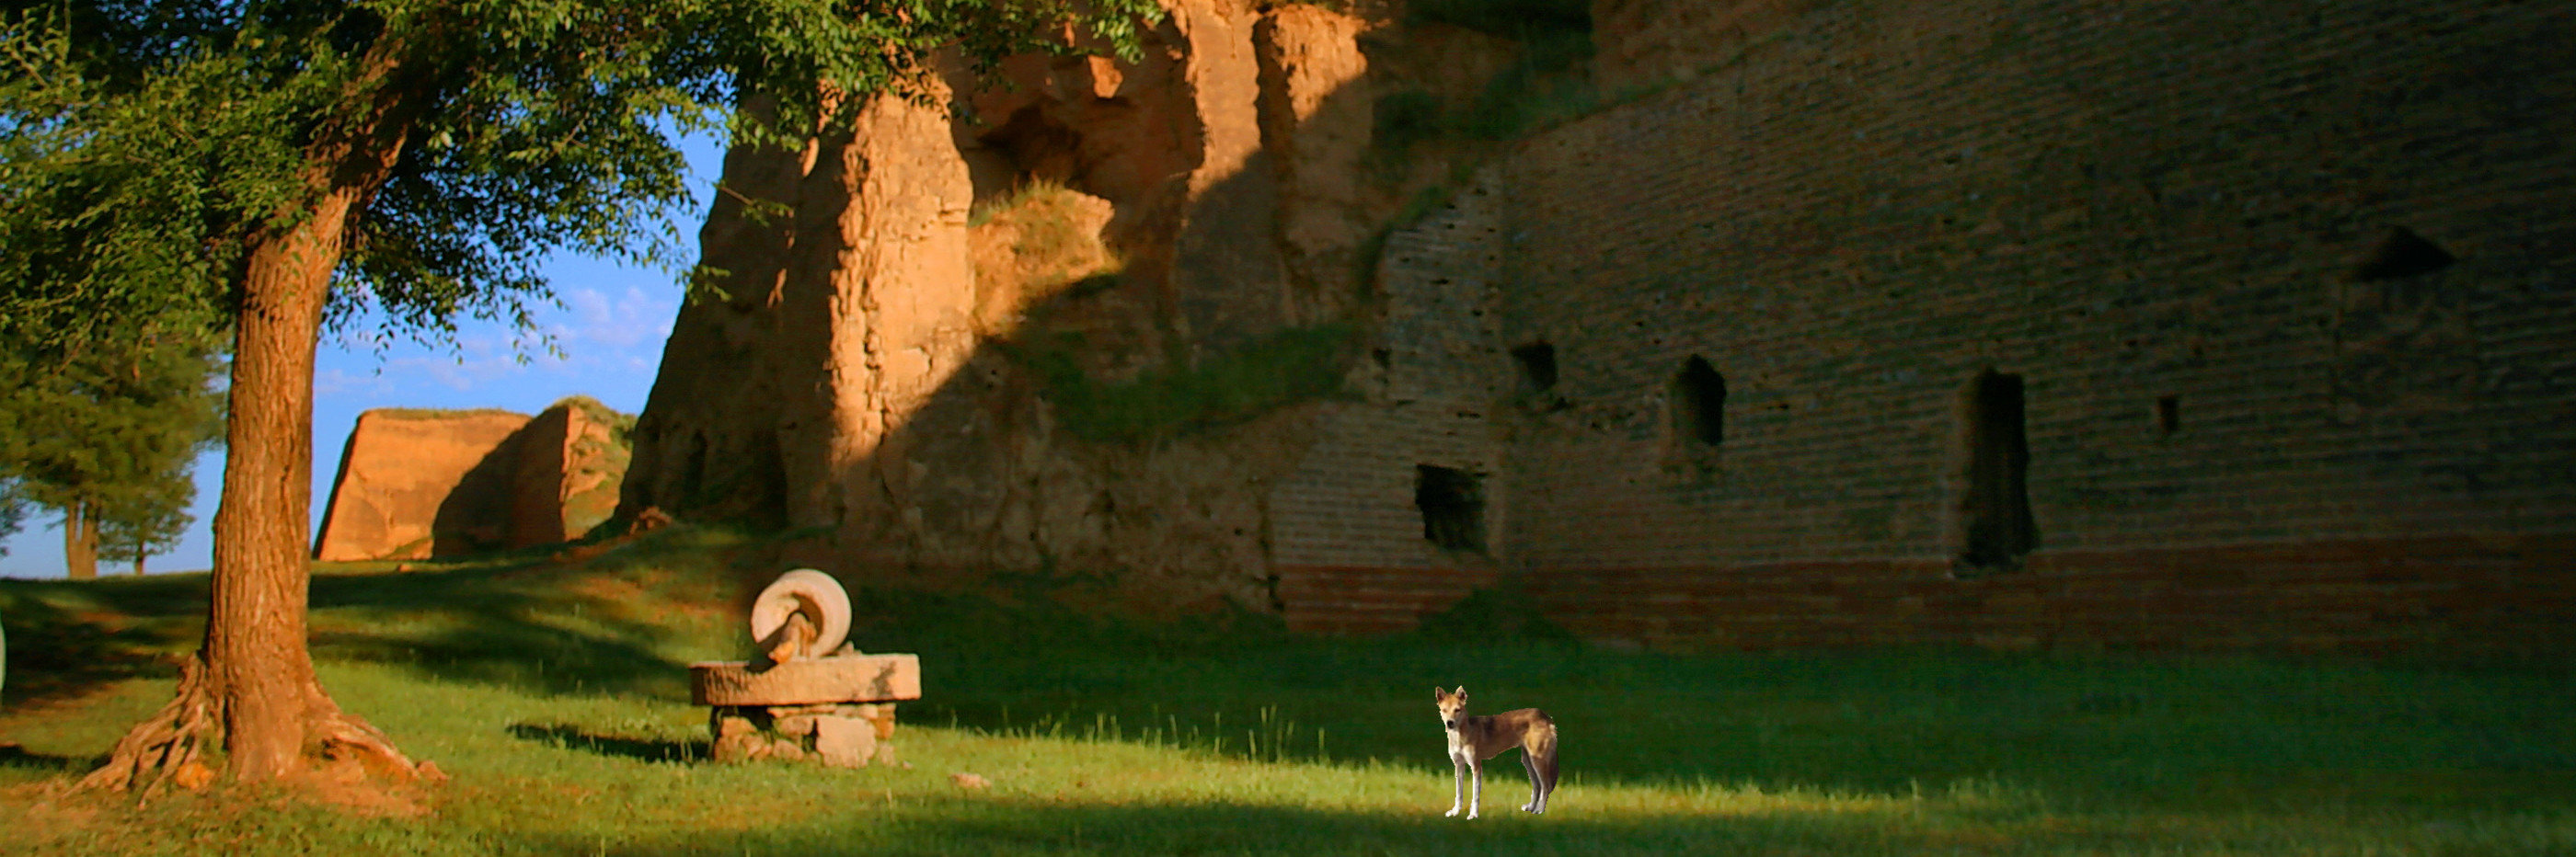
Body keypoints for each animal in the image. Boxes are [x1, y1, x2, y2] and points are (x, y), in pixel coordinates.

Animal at [1432, 684, 1546, 818]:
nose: (1450, 723)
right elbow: (1459, 793)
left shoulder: (1476, 766)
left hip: (1539, 762)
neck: (1460, 737)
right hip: (1528, 761)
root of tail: (1544, 715)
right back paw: (1531, 808)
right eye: (1444, 710)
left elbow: (1475, 795)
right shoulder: (1459, 765)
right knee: (1537, 786)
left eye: (1457, 710)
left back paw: (1539, 810)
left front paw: (1473, 814)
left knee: (1546, 787)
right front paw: (1455, 812)